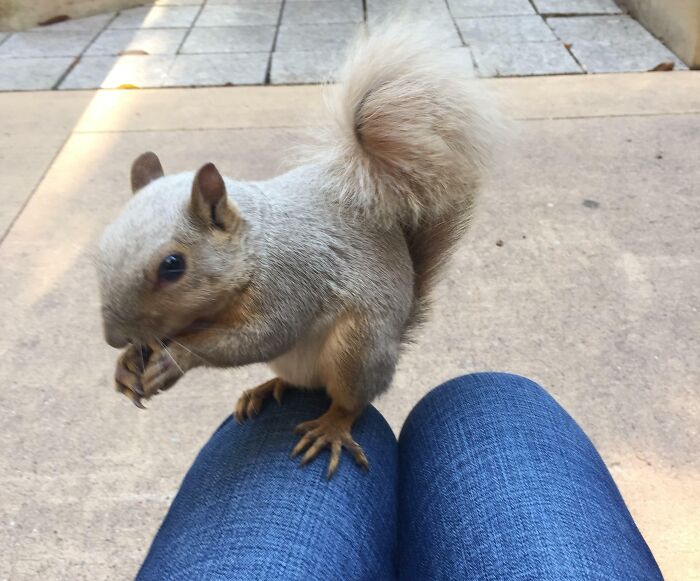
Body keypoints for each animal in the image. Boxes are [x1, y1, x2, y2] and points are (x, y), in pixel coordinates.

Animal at [97, 23, 505, 478]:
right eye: (102, 244)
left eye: (172, 265)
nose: (113, 338)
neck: (255, 246)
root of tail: (395, 342)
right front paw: (128, 363)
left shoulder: (291, 279)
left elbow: (265, 334)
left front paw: (177, 357)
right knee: (298, 382)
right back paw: (266, 387)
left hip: (357, 348)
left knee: (351, 400)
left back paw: (331, 427)